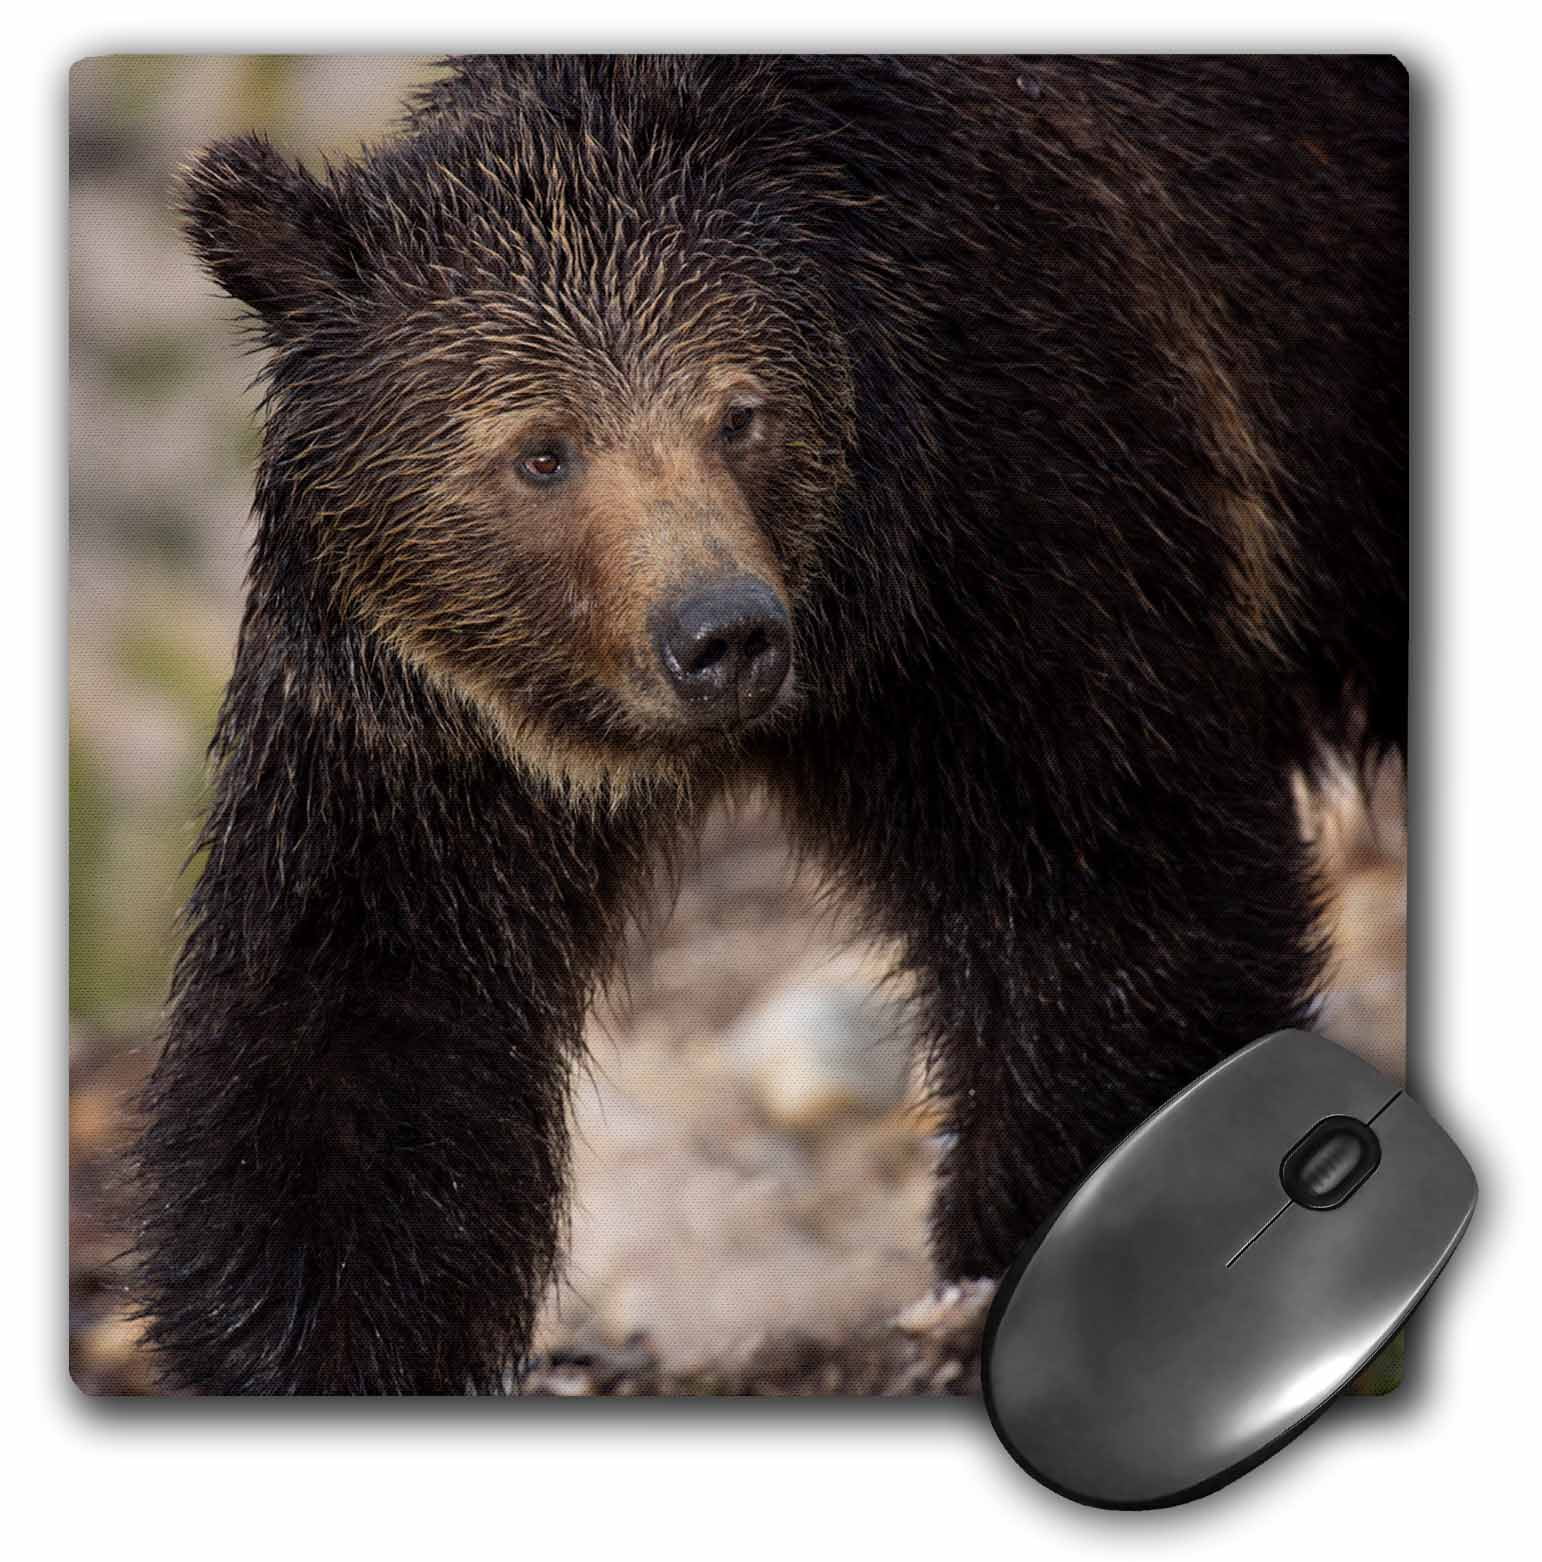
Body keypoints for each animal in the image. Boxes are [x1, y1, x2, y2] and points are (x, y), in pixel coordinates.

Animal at [133, 55, 1407, 1394]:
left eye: (738, 411)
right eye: (542, 451)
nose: (722, 632)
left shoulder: (1016, 526)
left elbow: (1109, 885)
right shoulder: (432, 725)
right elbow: (354, 1030)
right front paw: (307, 1341)